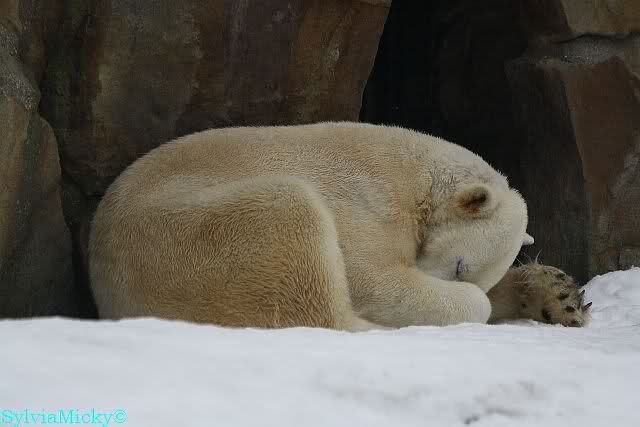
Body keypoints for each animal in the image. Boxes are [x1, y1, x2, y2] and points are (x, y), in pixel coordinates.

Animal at [89, 122, 590, 330]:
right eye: (460, 266)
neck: (415, 175)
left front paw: (560, 295)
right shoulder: (367, 201)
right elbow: (375, 280)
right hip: (189, 242)